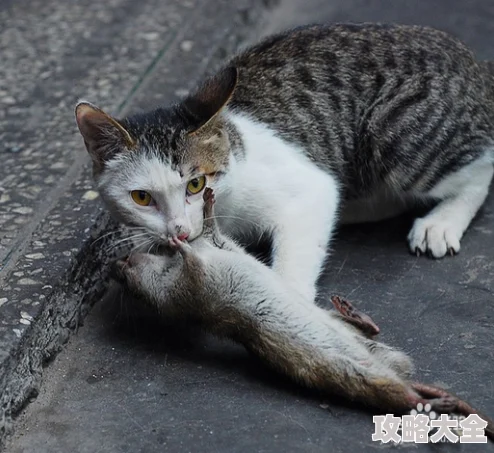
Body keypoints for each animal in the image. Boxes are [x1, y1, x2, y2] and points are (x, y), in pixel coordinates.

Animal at [75, 23, 492, 302]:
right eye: (142, 198)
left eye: (196, 184)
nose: (178, 230)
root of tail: (477, 66)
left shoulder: (307, 187)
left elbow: (309, 214)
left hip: (394, 133)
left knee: (481, 165)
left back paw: (441, 221)